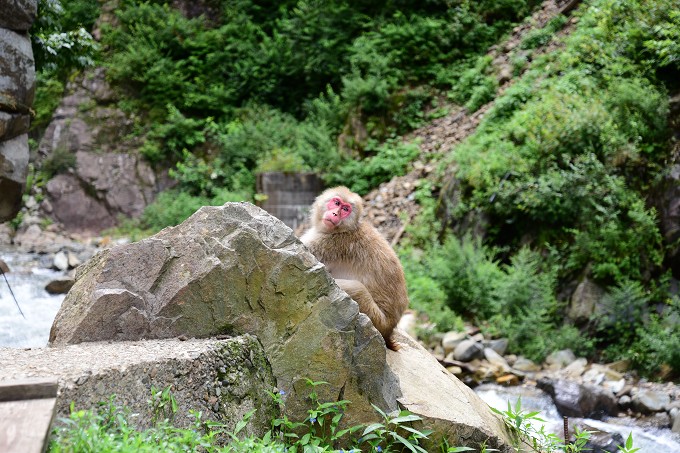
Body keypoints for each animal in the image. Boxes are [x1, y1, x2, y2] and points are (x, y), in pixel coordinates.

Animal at [298, 185, 406, 348]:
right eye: (336, 203)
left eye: (345, 209)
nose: (335, 213)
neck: (344, 229)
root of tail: (389, 330)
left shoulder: (329, 243)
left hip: (375, 319)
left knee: (355, 289)